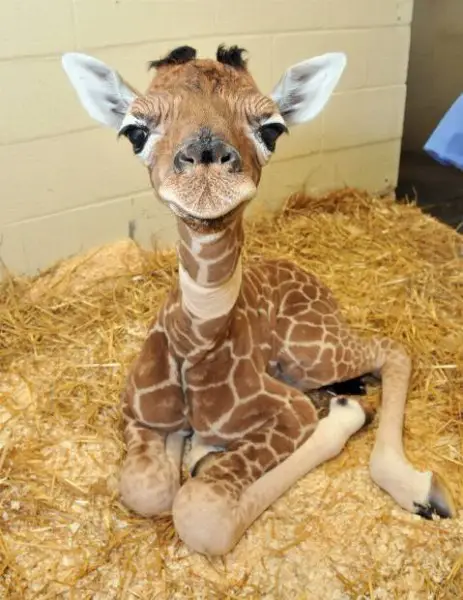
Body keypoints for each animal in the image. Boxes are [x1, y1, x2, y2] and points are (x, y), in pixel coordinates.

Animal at [62, 44, 456, 556]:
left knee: (393, 349)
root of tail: (313, 281)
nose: (206, 162)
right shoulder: (137, 412)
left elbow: (200, 512)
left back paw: (415, 485)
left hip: (310, 354)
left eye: (271, 128)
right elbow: (148, 488)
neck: (196, 345)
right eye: (135, 131)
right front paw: (190, 449)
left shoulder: (290, 411)